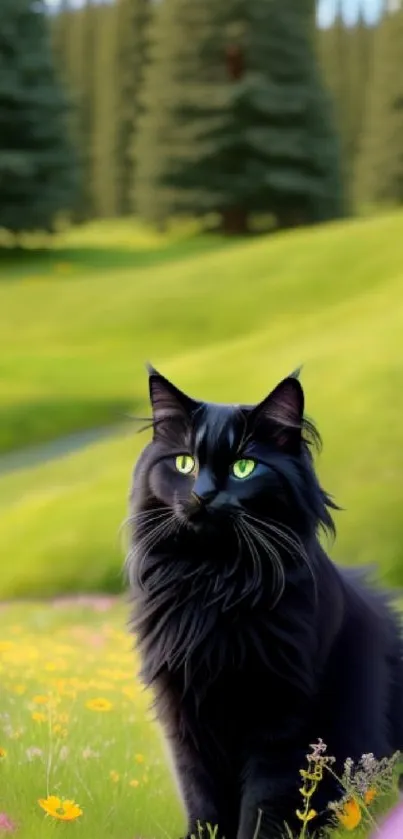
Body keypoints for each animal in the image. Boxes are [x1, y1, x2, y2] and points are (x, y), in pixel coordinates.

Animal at [127, 370, 403, 839]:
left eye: (244, 467)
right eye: (184, 464)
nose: (203, 495)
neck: (215, 583)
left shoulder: (284, 721)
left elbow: (262, 805)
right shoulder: (185, 714)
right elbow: (202, 800)